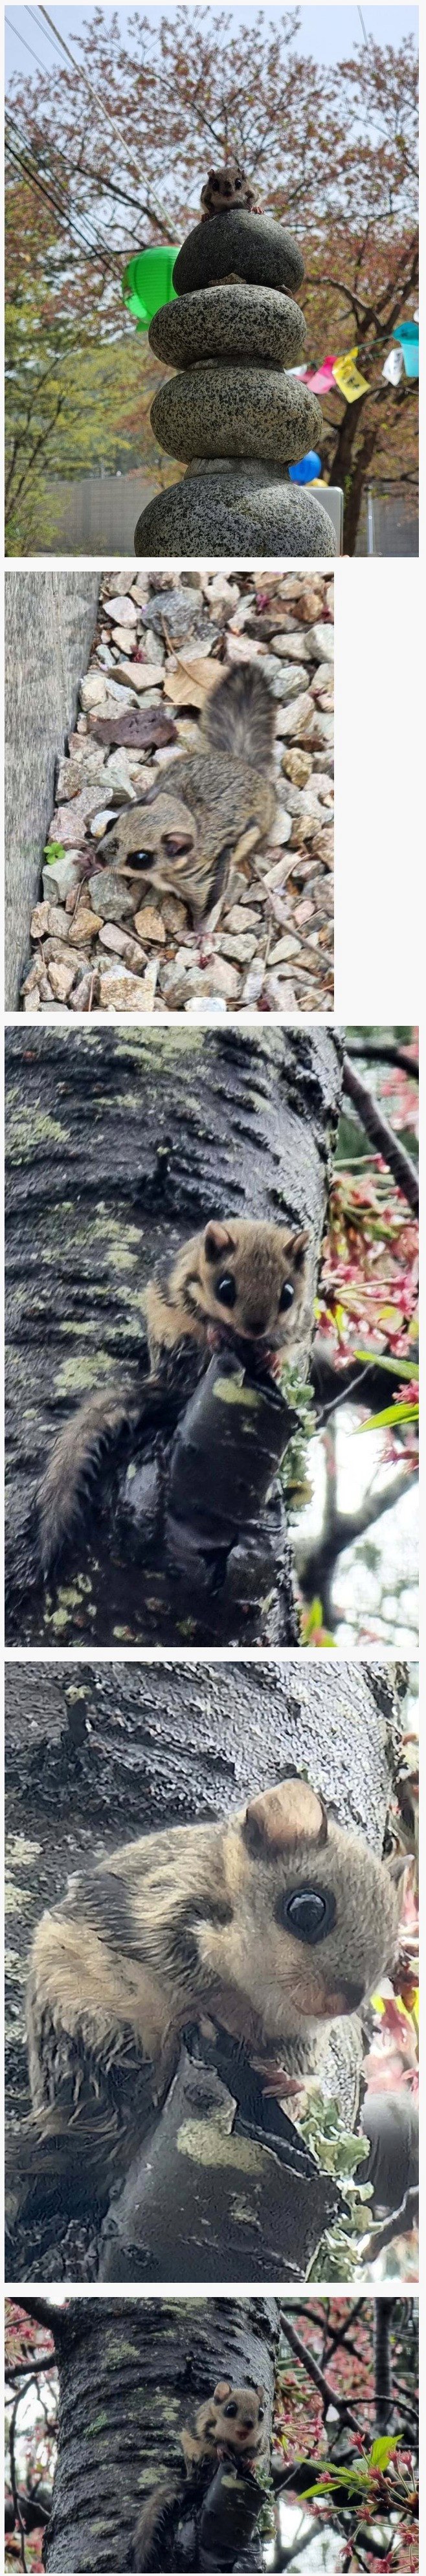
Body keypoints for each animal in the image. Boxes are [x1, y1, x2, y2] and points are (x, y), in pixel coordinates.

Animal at [16, 1782, 408, 2246]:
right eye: (308, 1909)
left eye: (390, 1960)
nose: (340, 2004)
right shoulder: (162, 1905)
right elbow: (190, 1972)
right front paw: (226, 2011)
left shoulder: (299, 2032)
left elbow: (293, 2059)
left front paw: (284, 2080)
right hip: (88, 2021)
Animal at [32, 1210, 309, 1586]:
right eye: (225, 1288)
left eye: (287, 1295)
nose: (254, 1329)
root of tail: (165, 1380)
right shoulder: (185, 1288)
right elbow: (203, 1316)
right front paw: (217, 1331)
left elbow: (283, 1342)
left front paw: (272, 1360)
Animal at [96, 664, 276, 927]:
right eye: (110, 823)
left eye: (141, 859)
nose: (98, 860)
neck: (186, 812)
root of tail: (241, 761)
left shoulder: (203, 875)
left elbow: (207, 902)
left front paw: (199, 932)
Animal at [130, 2380, 265, 2566]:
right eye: (231, 2409)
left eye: (261, 2413)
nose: (249, 2425)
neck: (236, 2442)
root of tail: (195, 2479)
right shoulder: (204, 2424)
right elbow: (213, 2440)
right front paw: (222, 2449)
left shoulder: (259, 2444)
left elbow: (253, 2454)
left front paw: (250, 2463)